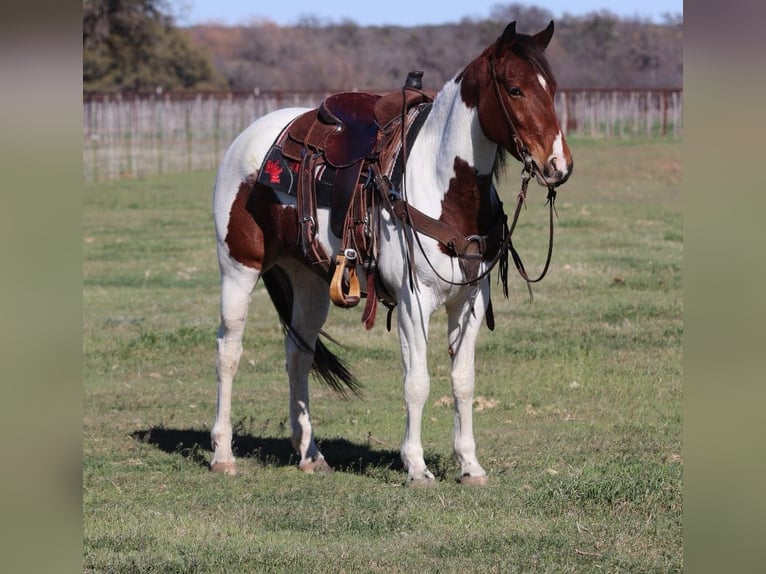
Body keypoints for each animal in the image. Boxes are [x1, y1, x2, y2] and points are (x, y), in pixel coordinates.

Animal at [213, 21, 572, 486]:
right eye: (515, 89)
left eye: (553, 88)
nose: (559, 165)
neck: (445, 186)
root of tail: (251, 137)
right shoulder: (413, 302)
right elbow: (417, 382)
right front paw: (416, 465)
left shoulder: (472, 301)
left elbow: (463, 381)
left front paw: (469, 464)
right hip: (238, 269)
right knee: (229, 352)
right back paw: (222, 454)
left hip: (309, 280)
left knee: (298, 354)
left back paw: (309, 452)